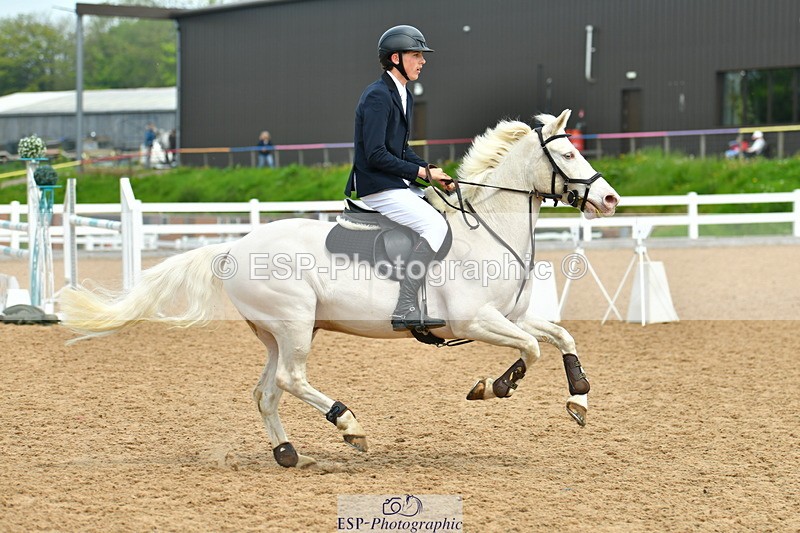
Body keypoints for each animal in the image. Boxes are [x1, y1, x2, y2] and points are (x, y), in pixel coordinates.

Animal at [59, 109, 620, 468]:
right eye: (569, 153)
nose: (611, 200)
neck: (488, 228)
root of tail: (234, 247)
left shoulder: (510, 316)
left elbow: (561, 337)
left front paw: (579, 399)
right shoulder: (477, 320)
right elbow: (531, 349)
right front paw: (494, 386)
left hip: (281, 331)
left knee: (266, 391)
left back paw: (288, 453)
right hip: (294, 324)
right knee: (289, 380)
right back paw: (349, 426)